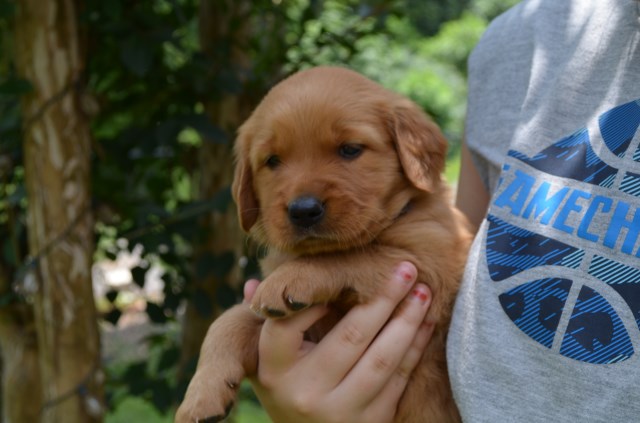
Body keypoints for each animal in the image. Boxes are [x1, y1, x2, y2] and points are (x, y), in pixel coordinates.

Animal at [175, 67, 470, 423]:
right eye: (272, 160)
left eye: (350, 149)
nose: (303, 210)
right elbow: (228, 321)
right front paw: (199, 396)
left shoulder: (433, 266)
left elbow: (352, 255)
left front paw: (293, 277)